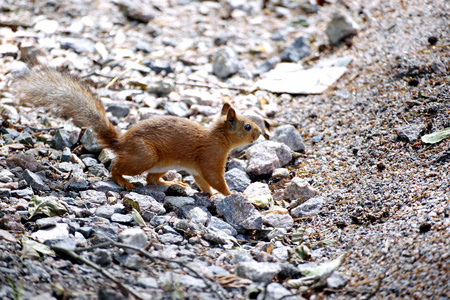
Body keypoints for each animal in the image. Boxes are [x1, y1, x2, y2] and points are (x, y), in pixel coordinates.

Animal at [14, 66, 260, 195]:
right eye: (247, 126)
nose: (260, 133)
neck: (219, 137)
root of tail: (120, 142)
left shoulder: (199, 169)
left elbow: (203, 182)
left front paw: (209, 195)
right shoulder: (211, 158)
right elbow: (215, 179)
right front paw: (231, 195)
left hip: (161, 164)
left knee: (151, 180)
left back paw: (170, 183)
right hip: (145, 156)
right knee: (115, 168)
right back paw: (124, 181)